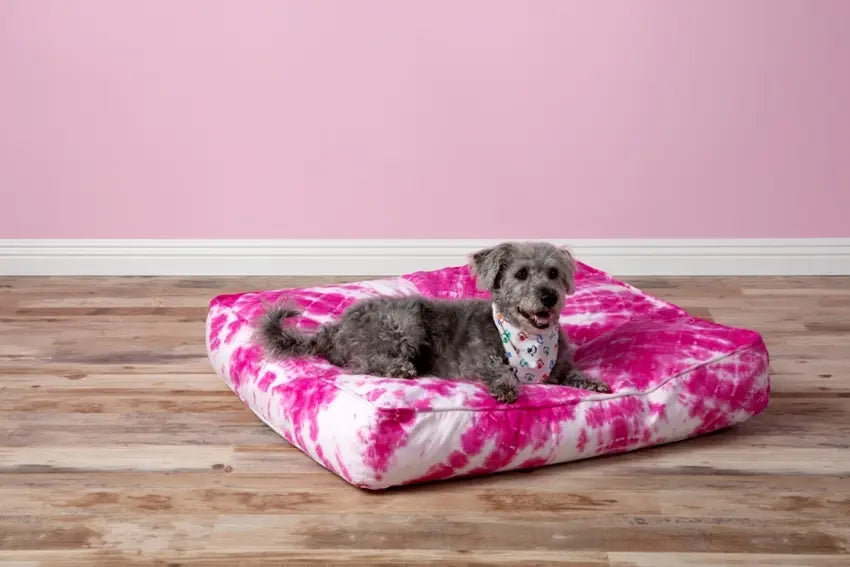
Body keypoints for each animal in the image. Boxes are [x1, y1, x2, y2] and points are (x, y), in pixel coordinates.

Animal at [255, 241, 608, 404]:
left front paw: (593, 382)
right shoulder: (476, 361)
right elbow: (497, 370)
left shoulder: (560, 366)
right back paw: (400, 368)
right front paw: (506, 386)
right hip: (405, 323)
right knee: (363, 362)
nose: (549, 296)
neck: (528, 338)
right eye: (521, 274)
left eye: (554, 273)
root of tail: (336, 327)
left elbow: (572, 372)